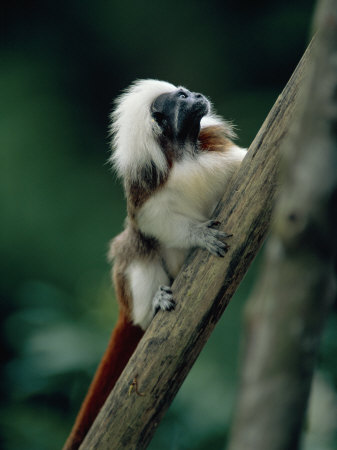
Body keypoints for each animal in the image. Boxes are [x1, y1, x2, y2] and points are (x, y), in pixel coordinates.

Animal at [63, 79, 247, 448]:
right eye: (183, 98)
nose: (199, 96)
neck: (185, 153)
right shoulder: (147, 194)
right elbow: (152, 225)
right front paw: (198, 236)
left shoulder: (224, 160)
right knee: (137, 249)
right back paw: (152, 308)